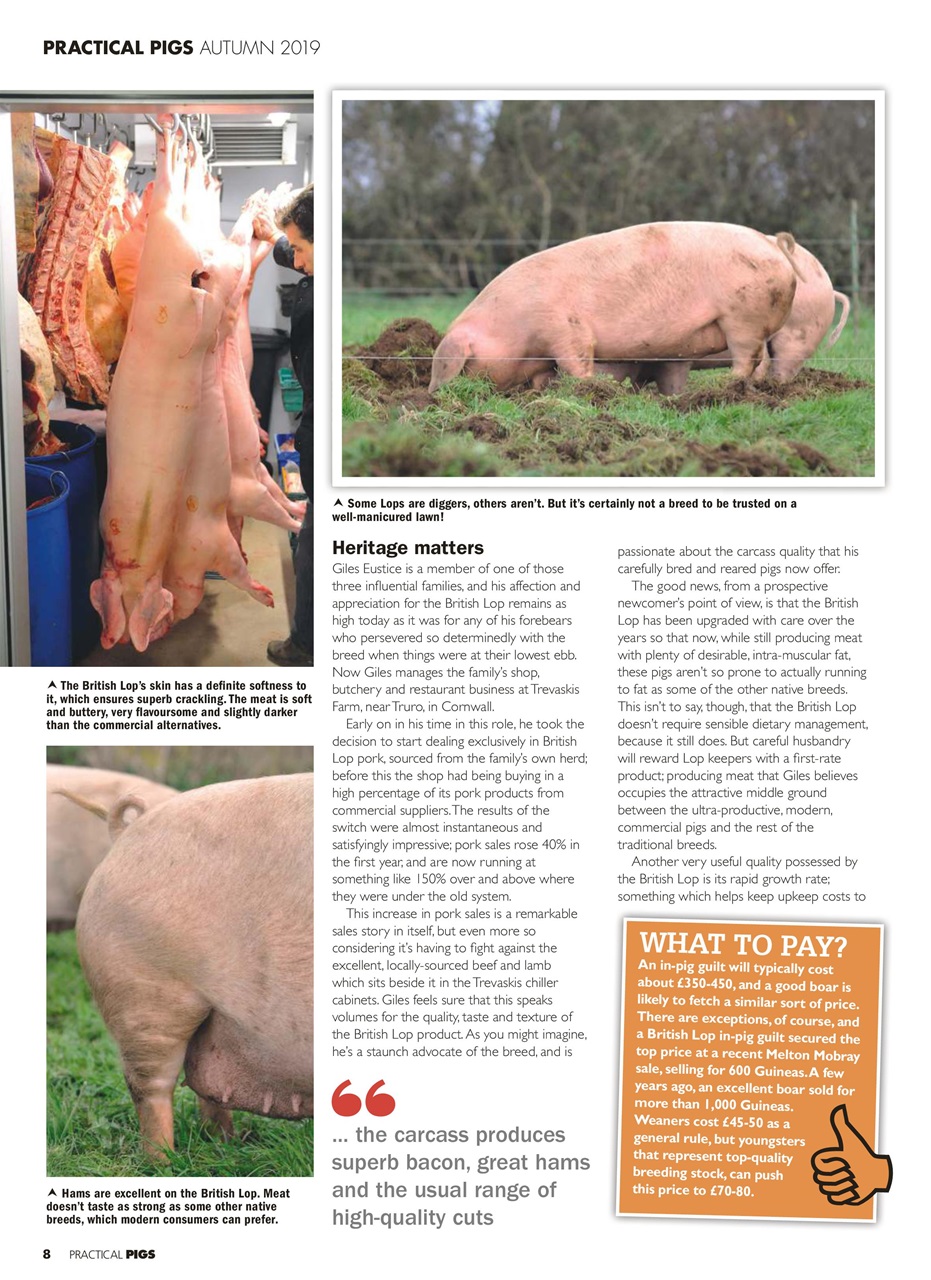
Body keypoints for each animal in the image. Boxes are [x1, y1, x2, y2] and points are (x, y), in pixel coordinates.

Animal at [75, 772, 313, 1158]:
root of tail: (128, 830)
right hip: (145, 997)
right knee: (151, 1087)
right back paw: (164, 1161)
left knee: (208, 1087)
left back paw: (226, 1145)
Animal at [429, 222, 803, 393]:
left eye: (465, 364)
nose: (434, 394)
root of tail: (772, 245)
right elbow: (543, 378)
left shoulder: (565, 328)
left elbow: (576, 362)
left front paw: (588, 389)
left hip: (743, 316)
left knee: (748, 357)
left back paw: (728, 387)